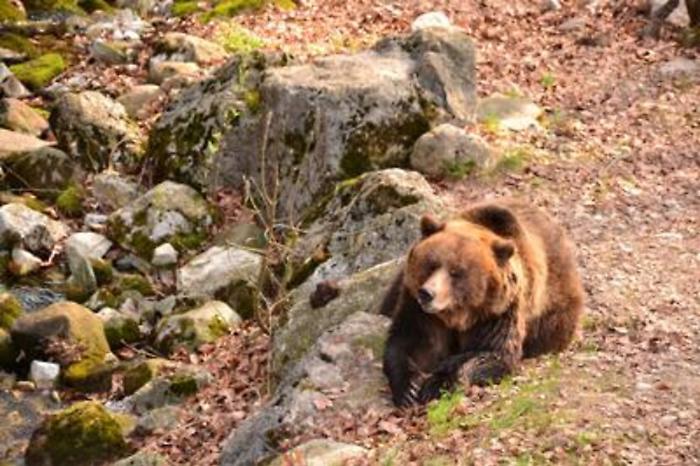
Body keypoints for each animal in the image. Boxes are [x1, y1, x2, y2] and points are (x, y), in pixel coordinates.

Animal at [381, 200, 584, 407]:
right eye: (432, 264)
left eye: (456, 272)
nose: (427, 293)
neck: (458, 315)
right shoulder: (421, 311)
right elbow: (412, 343)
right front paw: (409, 390)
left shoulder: (498, 312)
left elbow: (493, 354)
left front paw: (437, 384)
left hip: (555, 311)